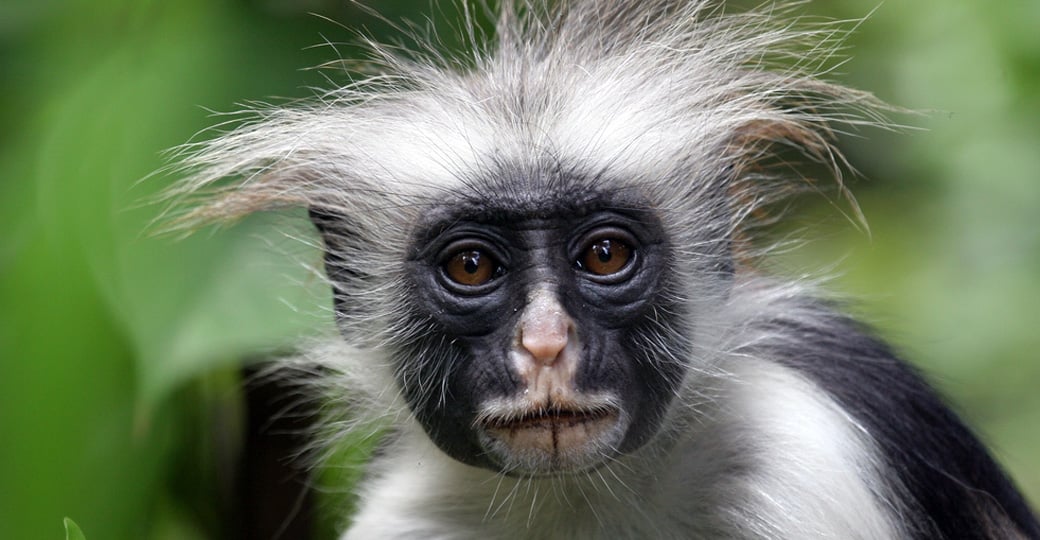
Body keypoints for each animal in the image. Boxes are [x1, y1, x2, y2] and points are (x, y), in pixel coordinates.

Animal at [167, 1, 1040, 538]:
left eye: (605, 254)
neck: (582, 496)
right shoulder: (408, 514)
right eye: (472, 266)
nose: (546, 345)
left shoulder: (805, 456)